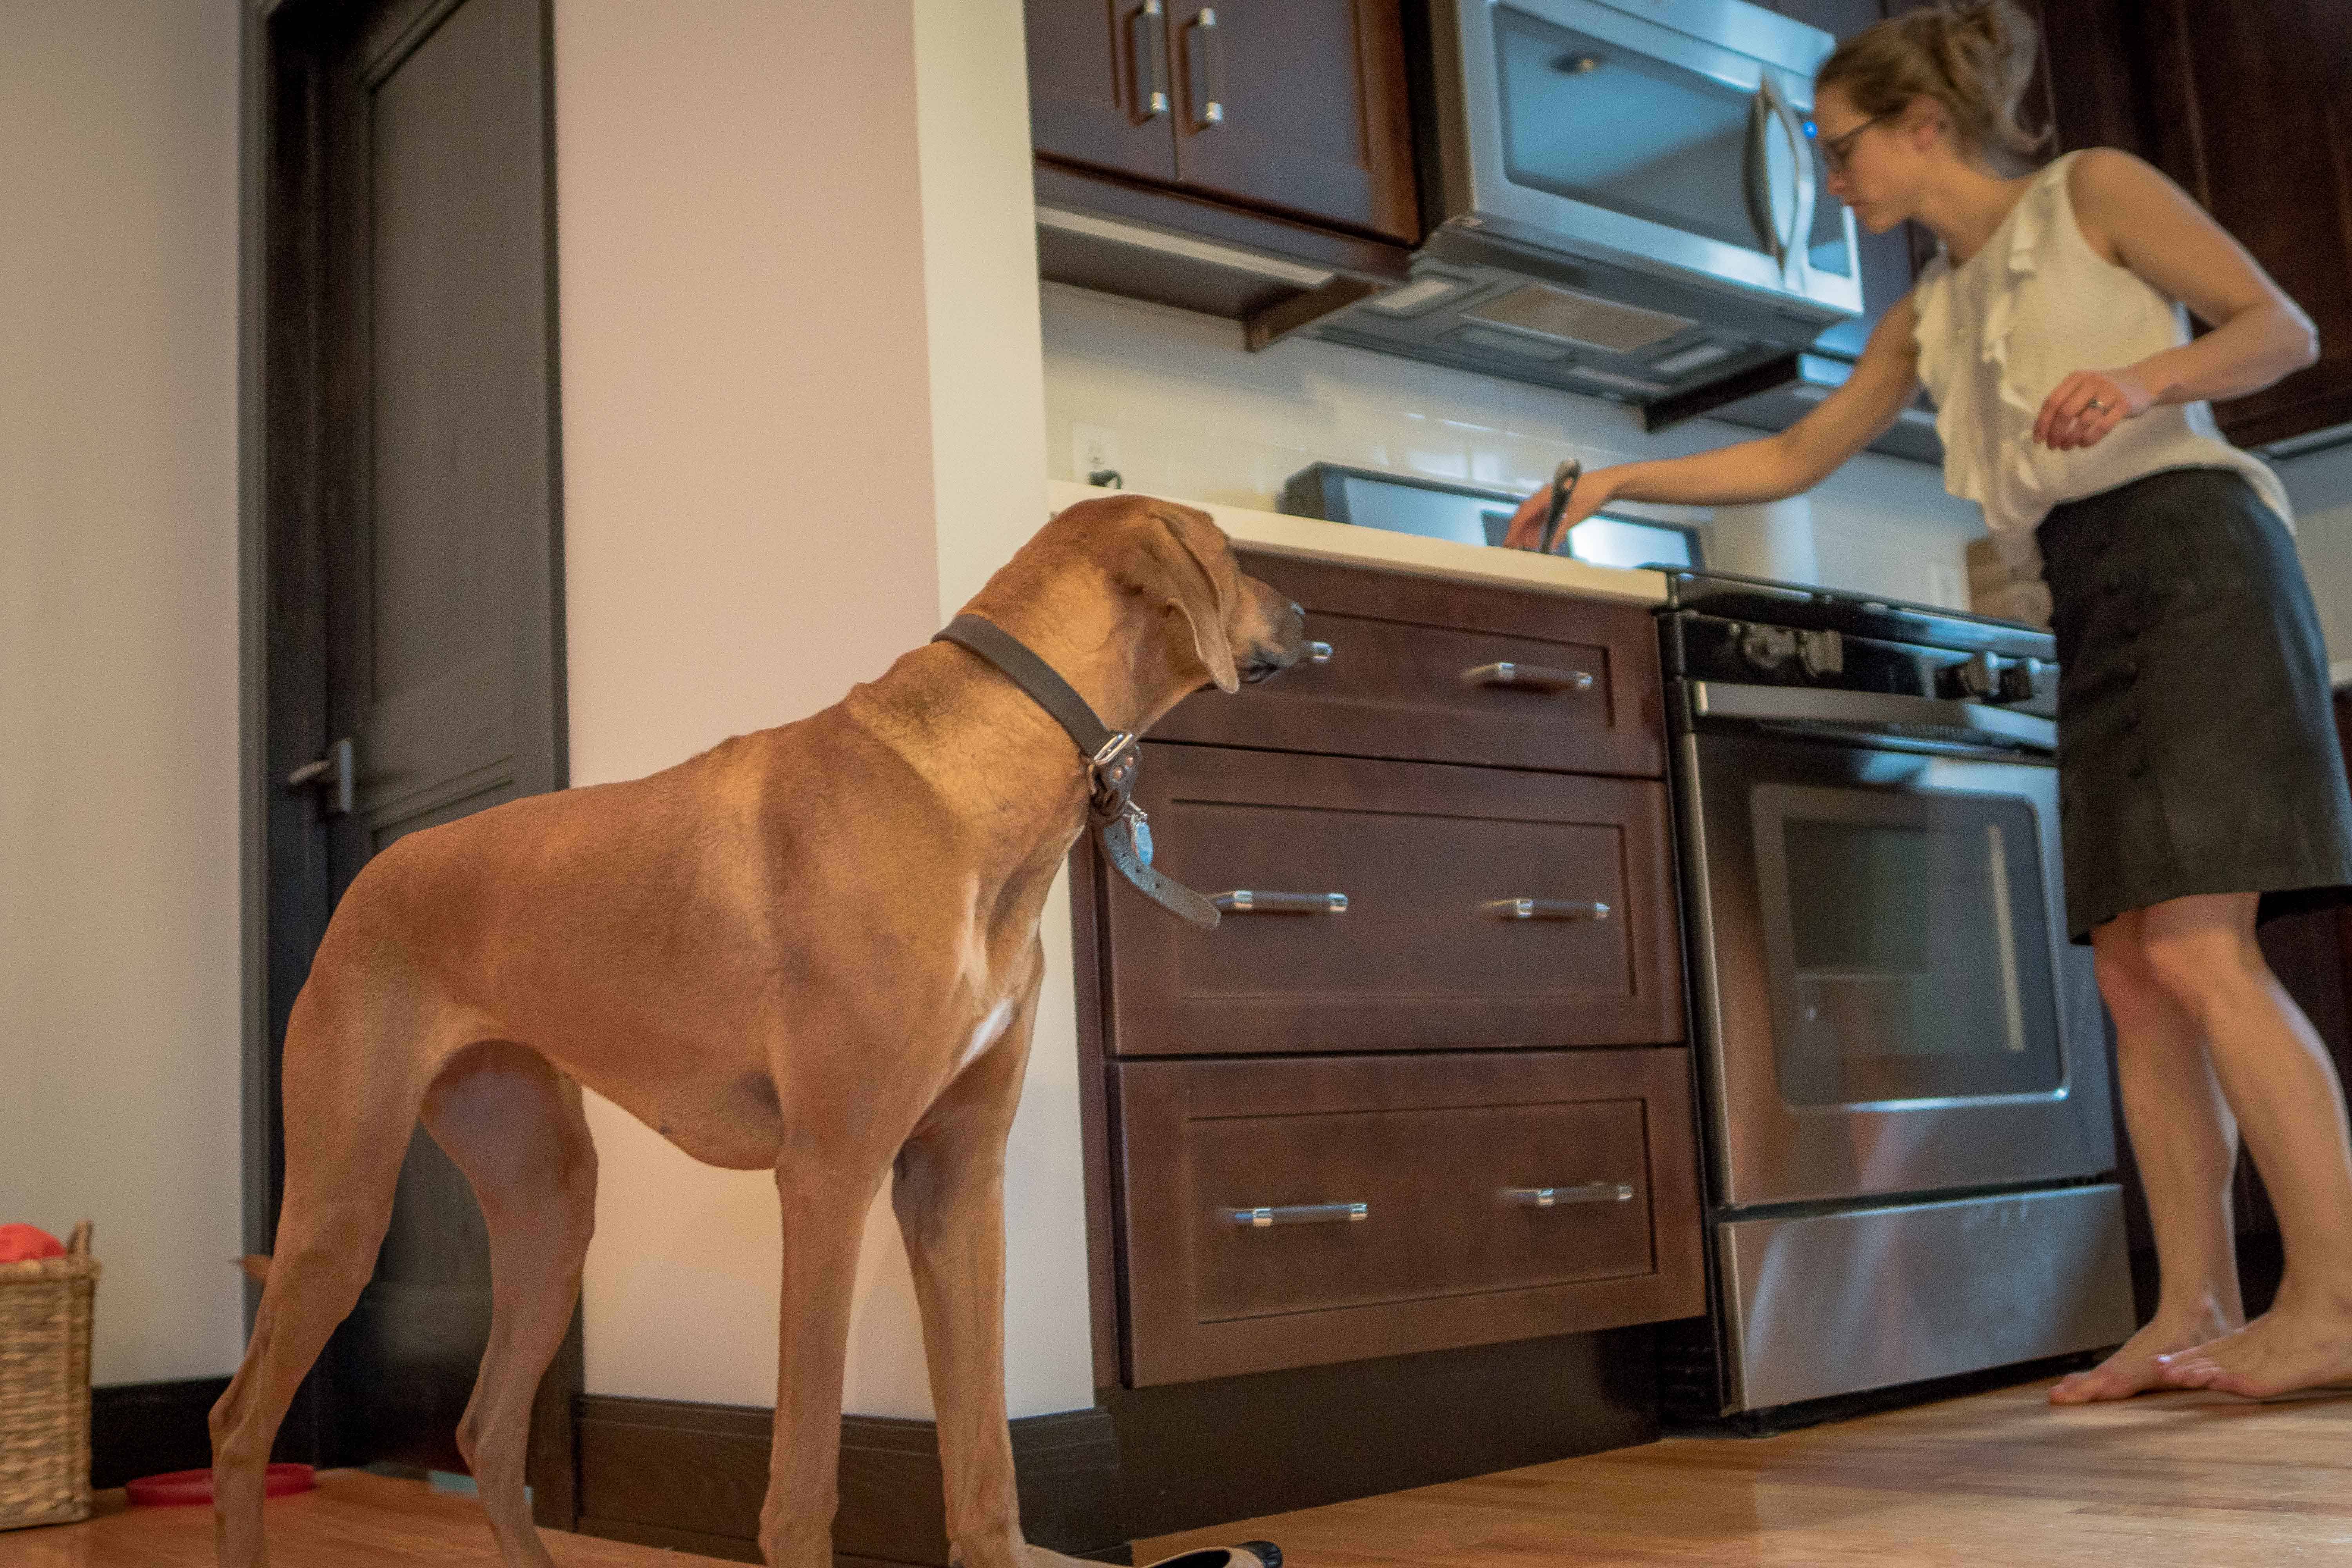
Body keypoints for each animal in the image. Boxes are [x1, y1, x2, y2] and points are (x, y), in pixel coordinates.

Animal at [212, 496, 1317, 1561]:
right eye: (1230, 552)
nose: (1309, 616)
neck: (973, 772)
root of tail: (374, 874)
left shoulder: (958, 1183)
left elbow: (987, 1477)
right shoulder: (830, 1174)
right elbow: (803, 1482)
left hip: (548, 1205)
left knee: (484, 1428)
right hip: (341, 1207)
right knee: (239, 1421)